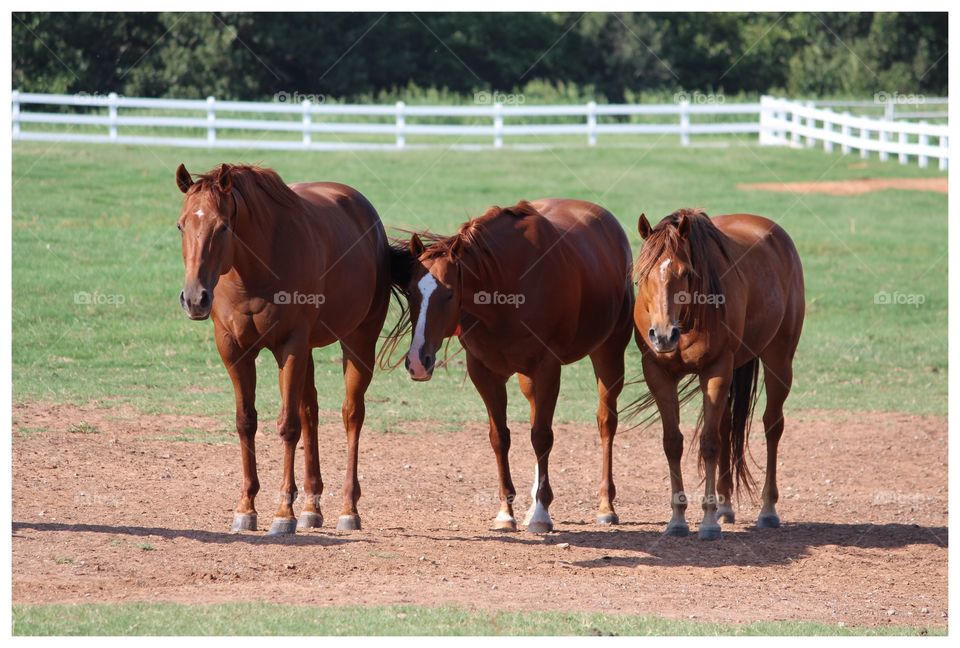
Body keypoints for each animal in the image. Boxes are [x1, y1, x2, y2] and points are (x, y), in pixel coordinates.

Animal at [175, 162, 406, 535]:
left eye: (222, 226)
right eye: (182, 225)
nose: (195, 298)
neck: (253, 272)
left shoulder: (291, 346)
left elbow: (287, 426)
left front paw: (283, 513)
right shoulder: (234, 350)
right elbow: (246, 422)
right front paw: (246, 508)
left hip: (358, 341)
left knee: (351, 415)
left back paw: (348, 508)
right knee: (310, 412)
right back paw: (312, 506)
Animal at [391, 199, 635, 532]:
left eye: (449, 293)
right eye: (411, 291)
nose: (418, 360)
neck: (505, 289)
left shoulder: (547, 368)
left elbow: (542, 436)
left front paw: (542, 514)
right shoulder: (485, 372)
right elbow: (500, 437)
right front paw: (507, 512)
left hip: (609, 352)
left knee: (606, 422)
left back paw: (605, 505)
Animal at [629, 208, 804, 540]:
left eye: (686, 273)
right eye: (641, 275)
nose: (663, 335)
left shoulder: (715, 370)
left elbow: (709, 443)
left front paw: (708, 521)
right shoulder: (658, 374)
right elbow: (673, 442)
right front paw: (677, 519)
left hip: (779, 360)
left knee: (772, 427)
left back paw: (767, 510)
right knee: (726, 427)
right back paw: (725, 505)